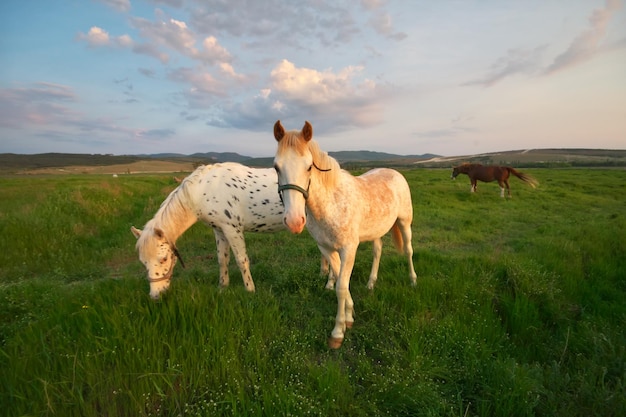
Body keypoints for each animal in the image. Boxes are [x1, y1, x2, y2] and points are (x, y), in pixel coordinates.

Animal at [130, 162, 286, 300]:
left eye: (164, 258)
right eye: (143, 261)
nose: (156, 295)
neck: (204, 190)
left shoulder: (232, 229)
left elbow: (242, 260)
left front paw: (250, 290)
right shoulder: (220, 231)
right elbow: (222, 259)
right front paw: (222, 287)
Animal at [272, 119, 414, 348]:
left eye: (309, 166)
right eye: (276, 167)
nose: (294, 221)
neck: (331, 202)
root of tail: (394, 172)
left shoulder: (348, 249)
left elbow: (341, 287)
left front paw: (338, 332)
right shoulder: (327, 248)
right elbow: (341, 282)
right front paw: (349, 317)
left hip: (404, 222)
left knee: (409, 251)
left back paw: (413, 281)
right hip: (376, 231)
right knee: (377, 252)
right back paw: (371, 283)